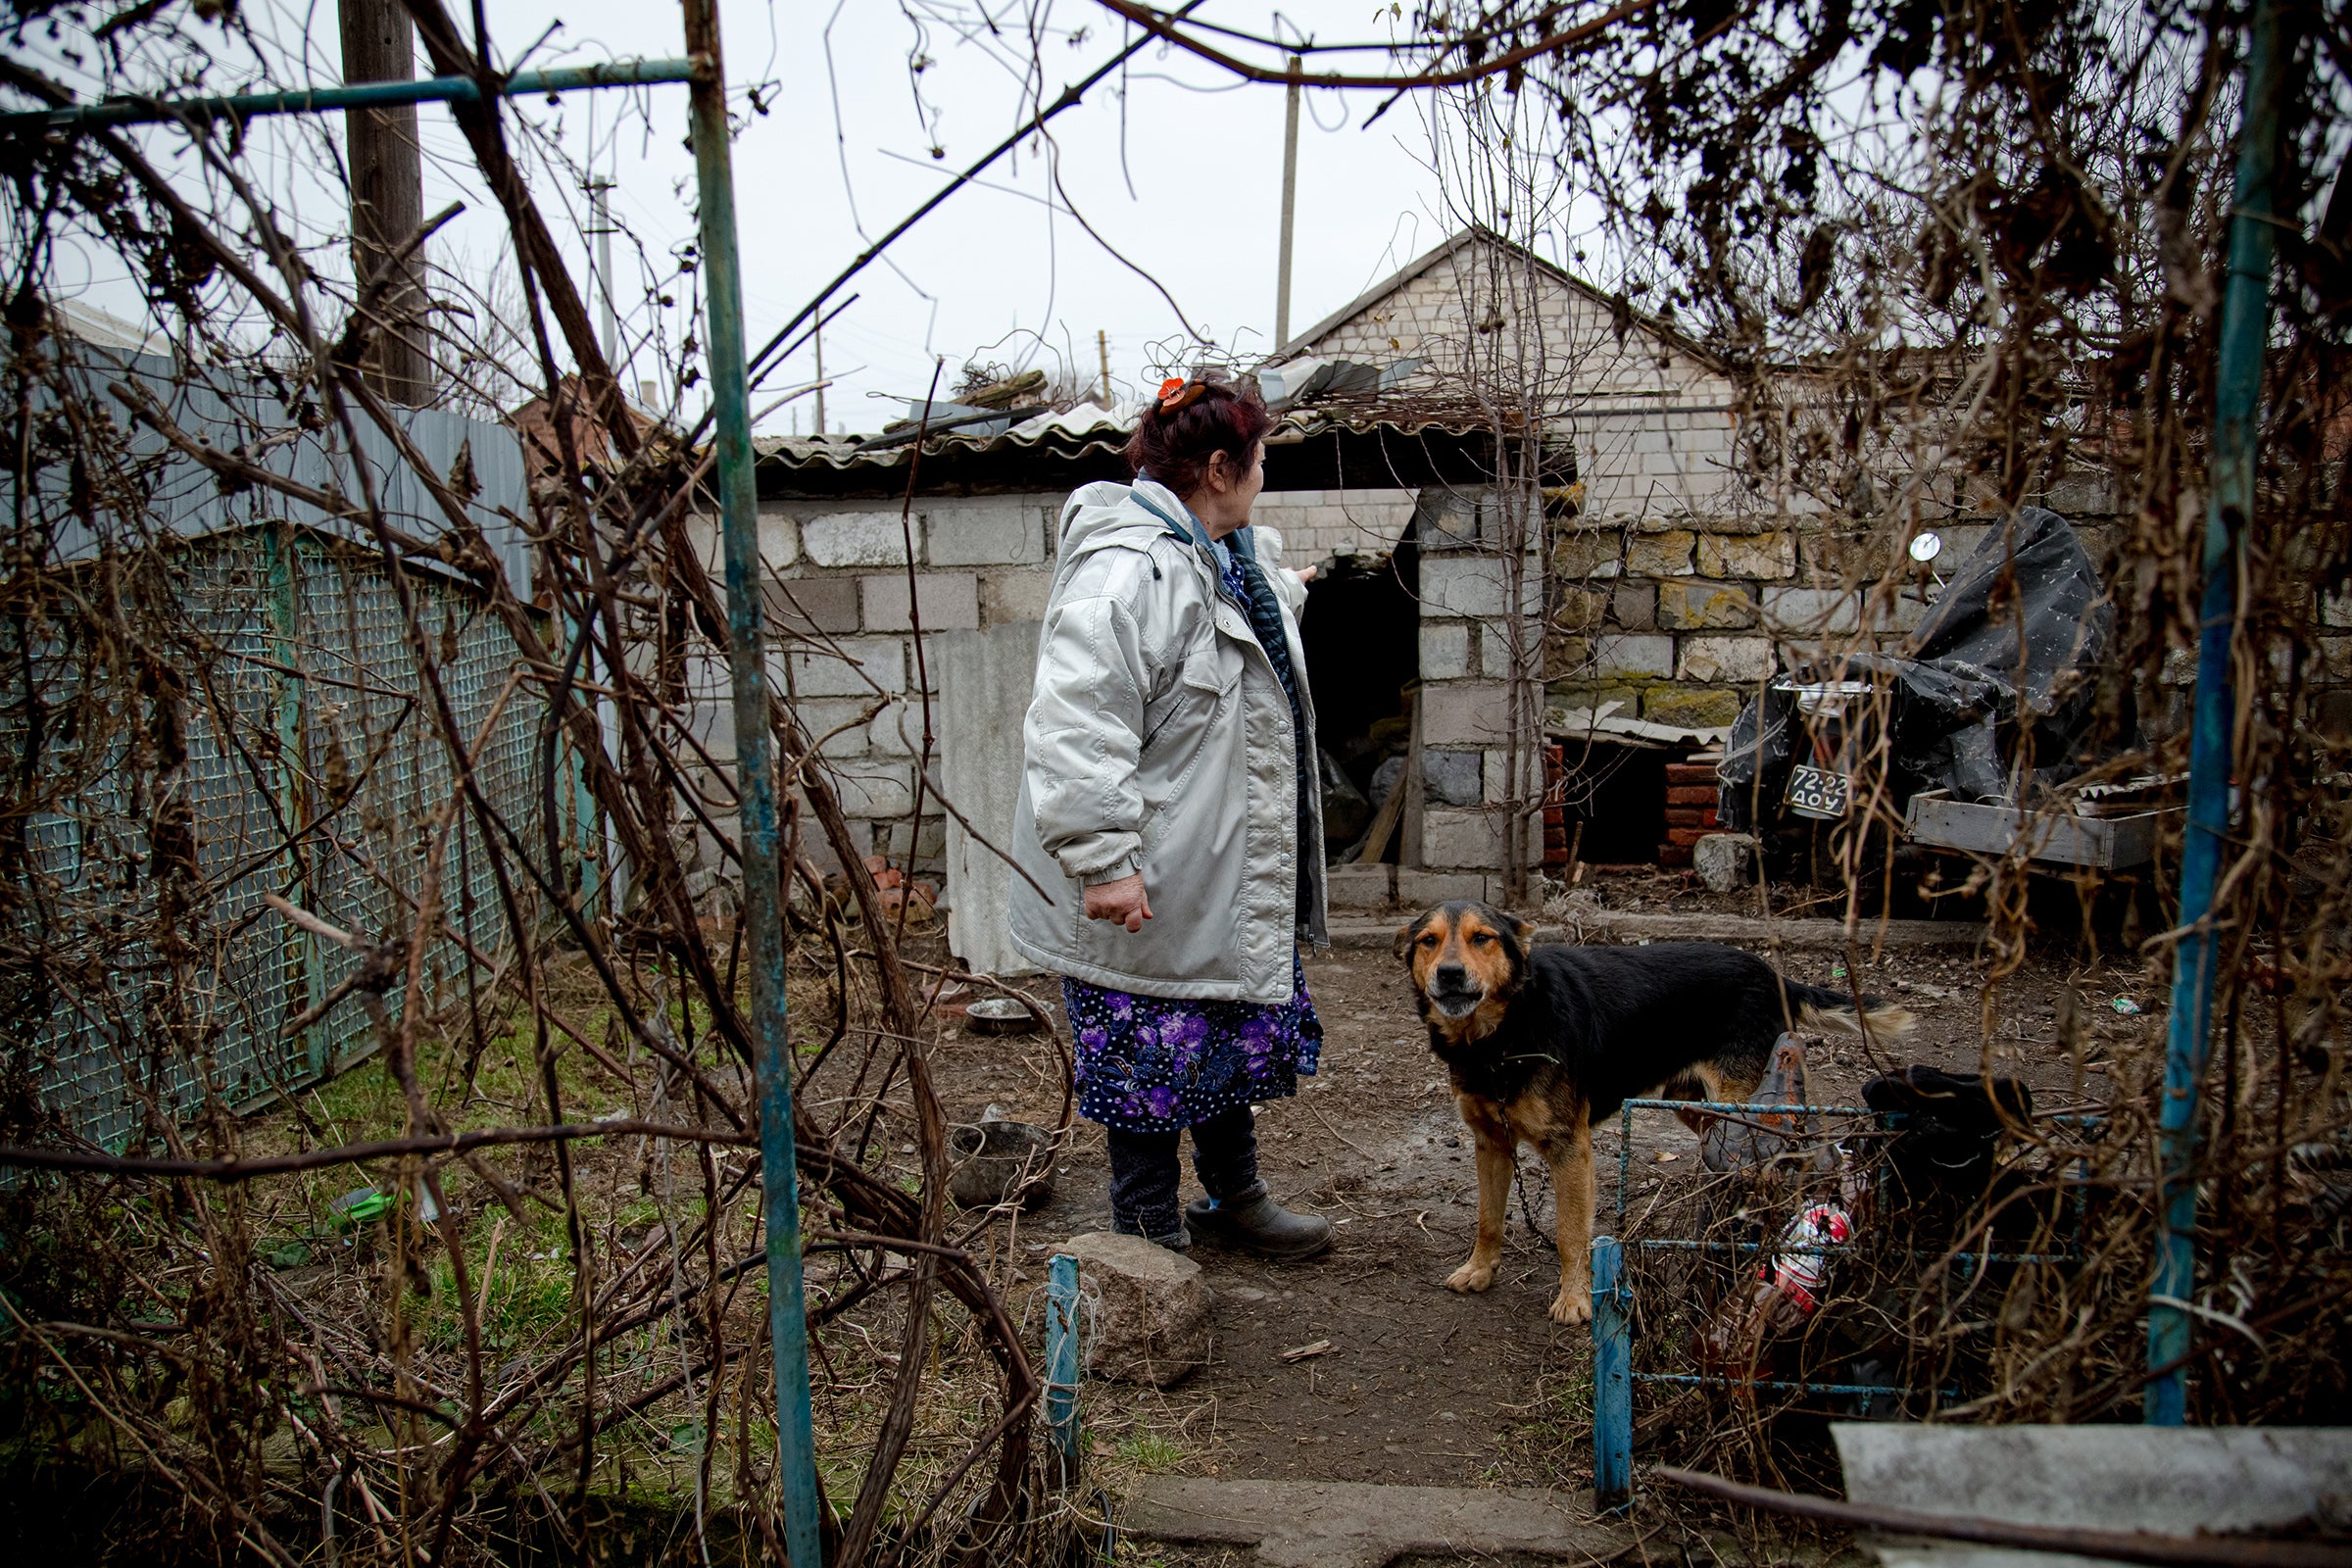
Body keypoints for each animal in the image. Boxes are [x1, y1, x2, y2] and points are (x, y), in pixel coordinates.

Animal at [1392, 906, 1909, 1325]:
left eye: (1482, 938)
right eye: (1429, 941)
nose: (1450, 975)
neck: (1502, 1036)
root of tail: (1773, 975)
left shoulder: (1569, 1149)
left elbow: (1570, 1234)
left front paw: (1575, 1299)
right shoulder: (1490, 1141)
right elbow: (1488, 1217)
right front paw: (1479, 1270)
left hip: (1751, 1107)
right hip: (1698, 1108)